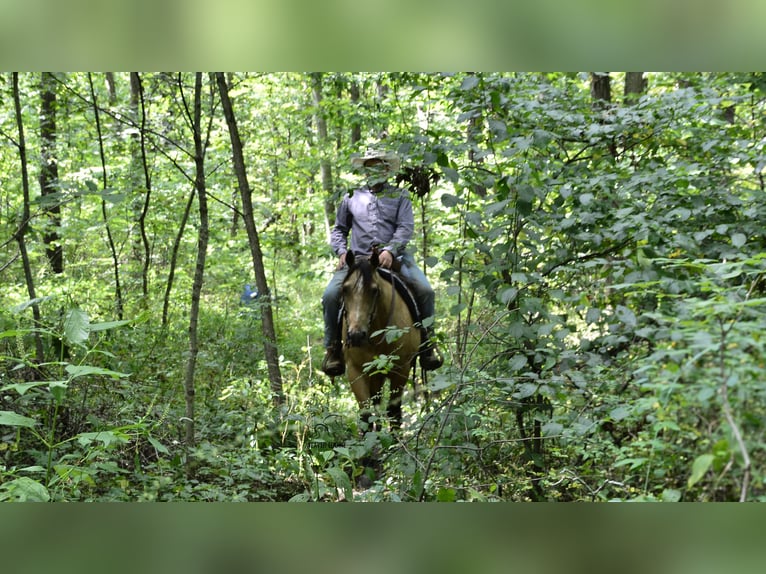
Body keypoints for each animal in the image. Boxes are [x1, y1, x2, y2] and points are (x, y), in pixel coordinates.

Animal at [340, 248, 421, 431]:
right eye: (345, 289)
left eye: (374, 290)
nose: (356, 336)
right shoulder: (355, 370)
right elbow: (365, 415)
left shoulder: (401, 369)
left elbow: (394, 412)